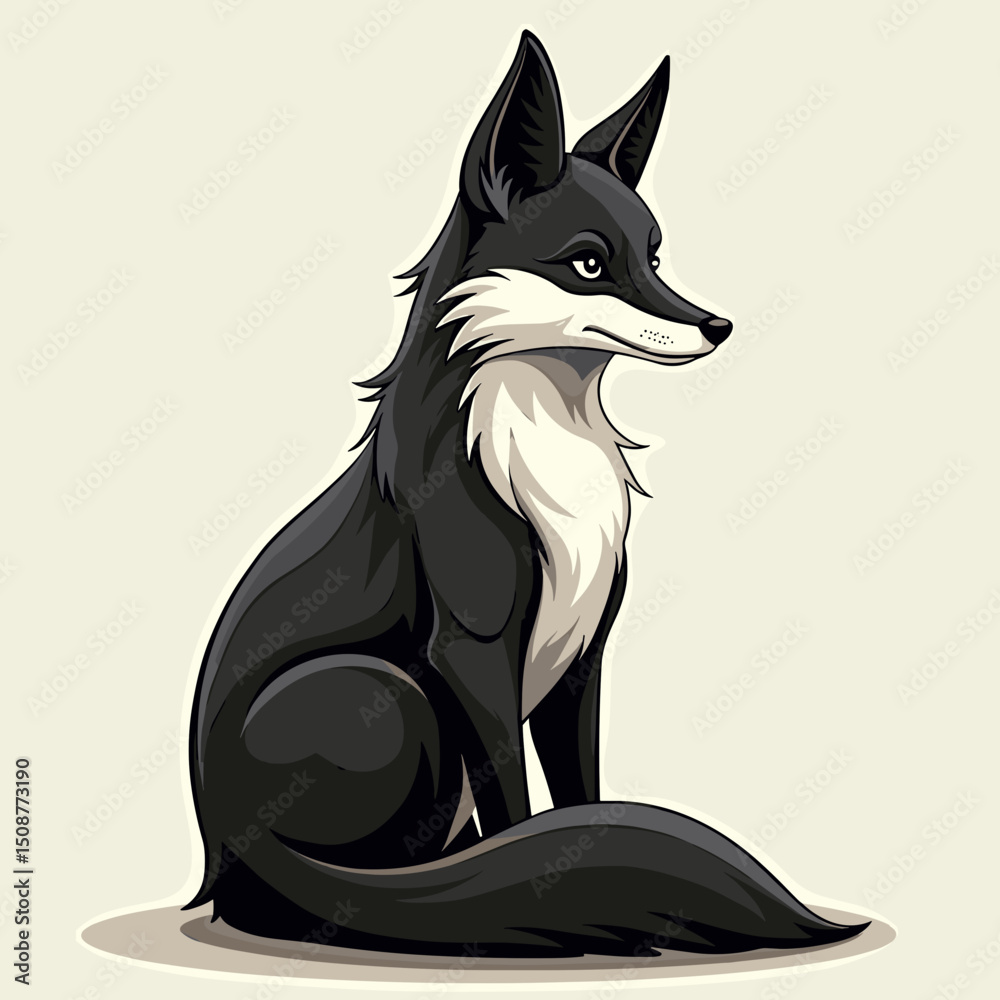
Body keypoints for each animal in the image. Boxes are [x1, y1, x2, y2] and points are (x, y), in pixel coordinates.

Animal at [185, 30, 869, 958]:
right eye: (588, 262)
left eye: (655, 256)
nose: (718, 325)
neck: (550, 455)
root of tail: (220, 849)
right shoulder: (471, 650)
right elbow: (515, 810)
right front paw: (527, 896)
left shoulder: (582, 658)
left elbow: (579, 798)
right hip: (385, 695)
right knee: (338, 892)